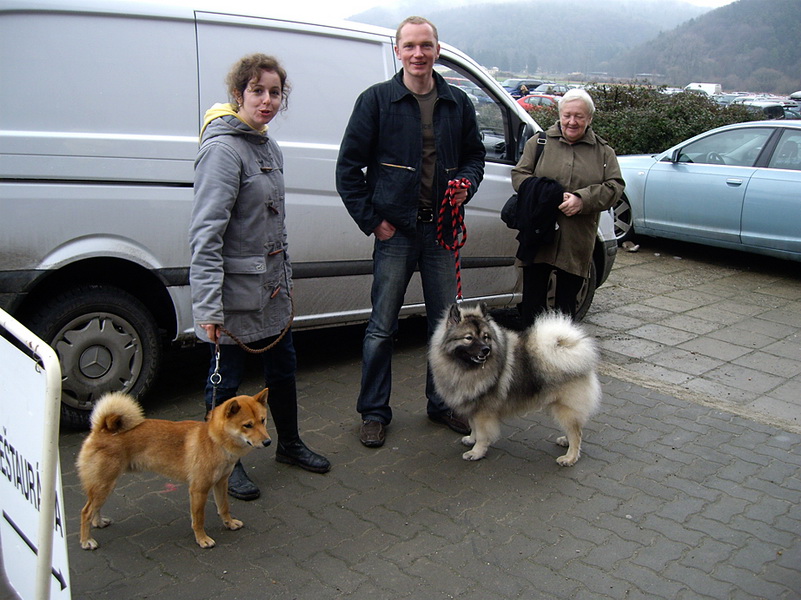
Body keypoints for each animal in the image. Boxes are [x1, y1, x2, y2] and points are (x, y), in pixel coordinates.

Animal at [78, 390, 272, 548]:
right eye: (247, 425)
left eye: (263, 421)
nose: (268, 442)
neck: (214, 441)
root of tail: (101, 429)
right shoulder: (198, 490)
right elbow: (198, 519)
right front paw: (202, 539)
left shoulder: (221, 483)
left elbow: (224, 507)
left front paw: (229, 523)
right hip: (105, 485)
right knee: (86, 511)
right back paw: (86, 541)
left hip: (104, 486)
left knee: (94, 508)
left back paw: (99, 522)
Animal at [428, 302, 596, 466]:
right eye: (468, 337)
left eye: (486, 337)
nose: (486, 350)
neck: (464, 367)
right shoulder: (473, 406)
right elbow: (473, 426)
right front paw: (471, 439)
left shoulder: (483, 411)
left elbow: (482, 434)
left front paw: (476, 452)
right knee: (574, 429)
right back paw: (565, 441)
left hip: (565, 408)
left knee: (576, 433)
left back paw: (570, 458)